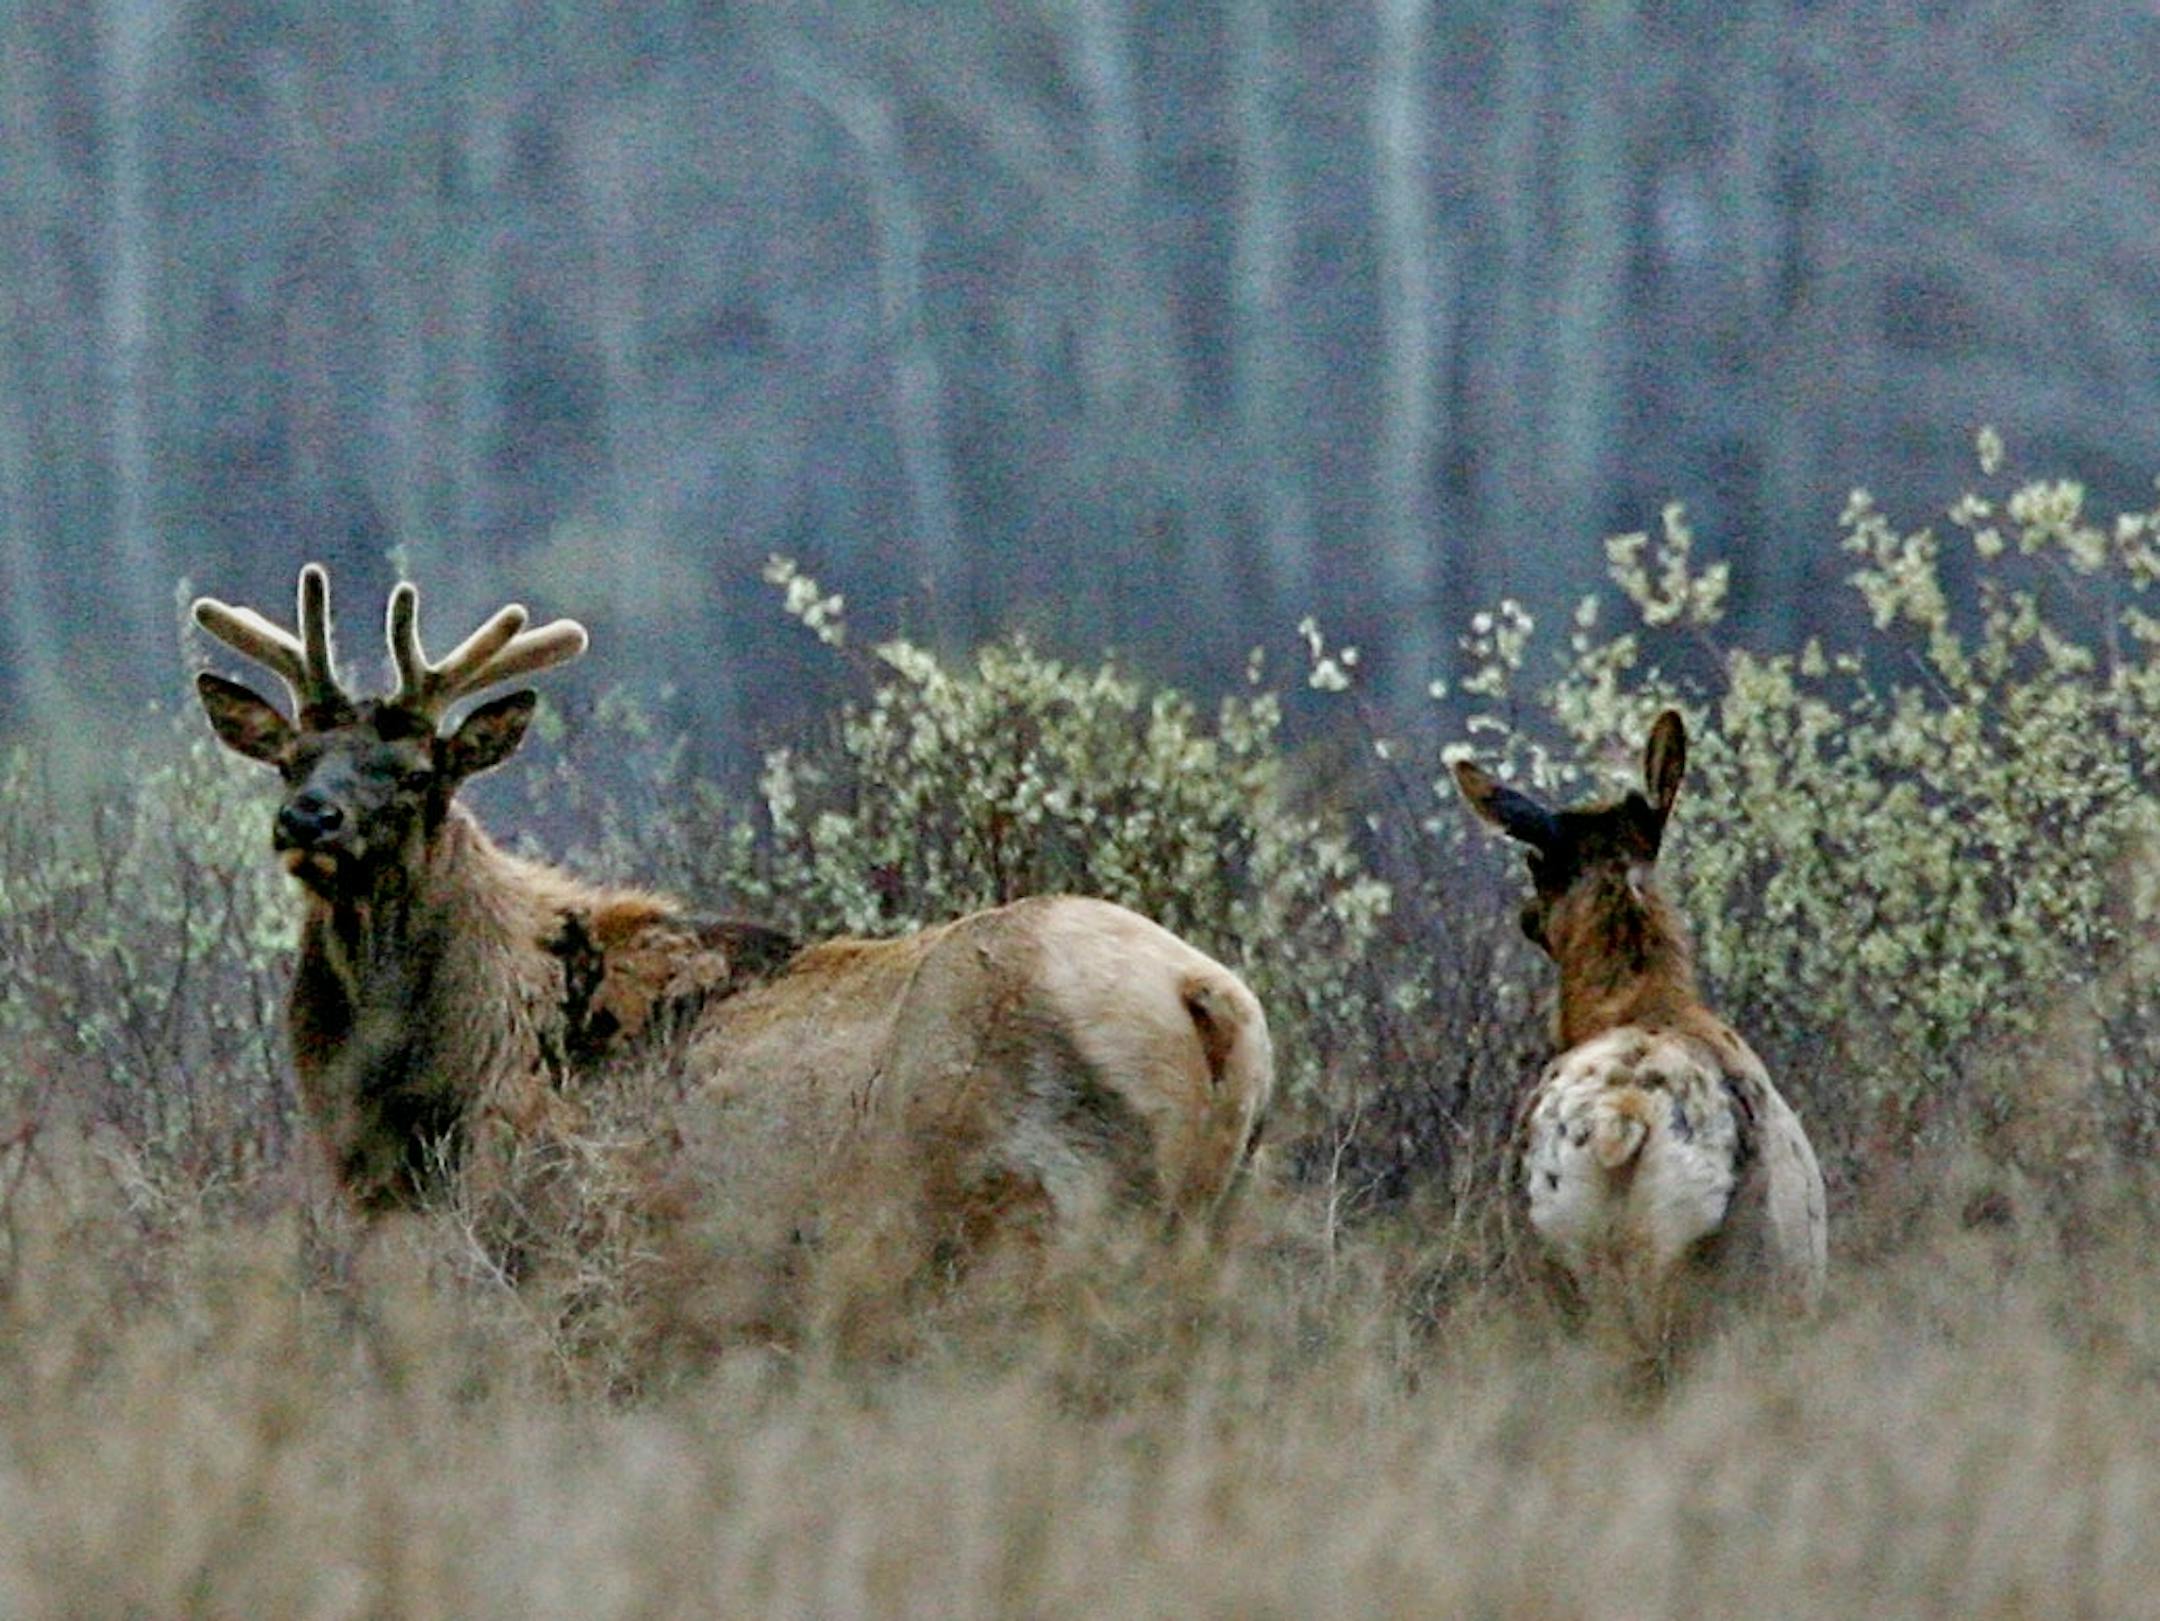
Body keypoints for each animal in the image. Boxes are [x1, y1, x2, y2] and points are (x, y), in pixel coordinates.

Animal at [191, 564, 1273, 1339]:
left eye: (419, 772)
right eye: (291, 758)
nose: (308, 817)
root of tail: (1211, 997)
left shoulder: (575, 1239)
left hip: (1057, 1216)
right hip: (1200, 1223)